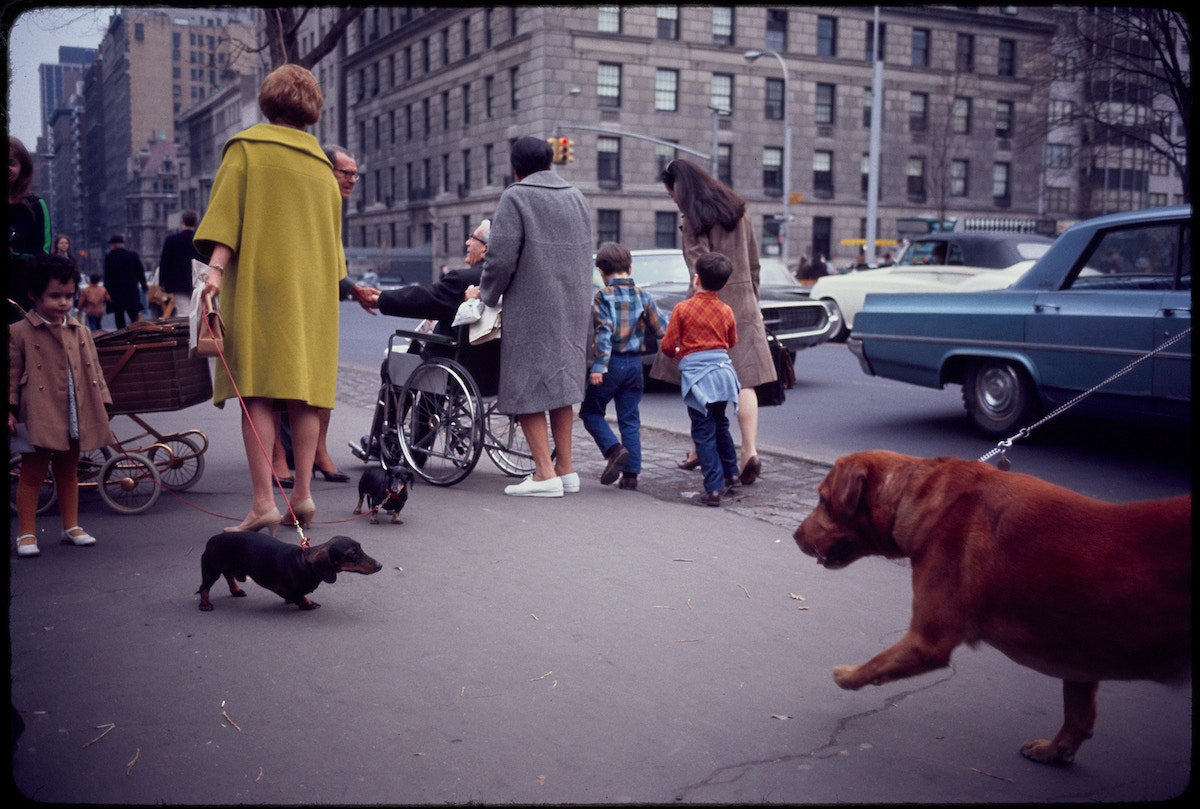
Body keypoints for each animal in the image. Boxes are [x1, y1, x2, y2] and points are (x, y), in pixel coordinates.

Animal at [792, 446, 1185, 763]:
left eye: (822, 500)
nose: (795, 535)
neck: (921, 498)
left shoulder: (926, 641)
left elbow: (876, 663)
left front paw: (846, 675)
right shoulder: (1079, 655)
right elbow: (1079, 712)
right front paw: (1057, 749)